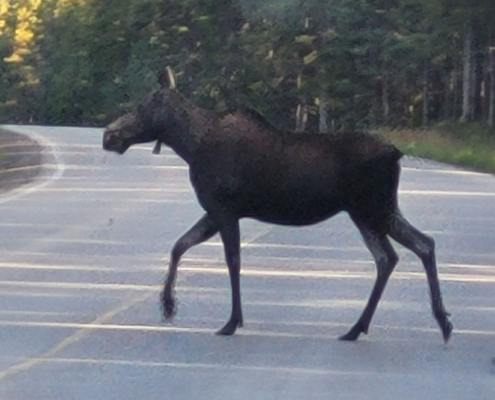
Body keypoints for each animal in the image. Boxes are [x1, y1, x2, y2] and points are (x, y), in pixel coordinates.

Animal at [103, 67, 454, 342]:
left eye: (143, 107)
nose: (109, 135)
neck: (190, 145)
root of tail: (396, 153)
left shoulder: (224, 209)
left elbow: (231, 261)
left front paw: (231, 321)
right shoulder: (215, 211)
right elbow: (179, 245)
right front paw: (168, 304)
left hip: (373, 209)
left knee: (414, 247)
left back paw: (435, 322)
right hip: (371, 212)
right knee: (398, 253)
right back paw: (366, 327)